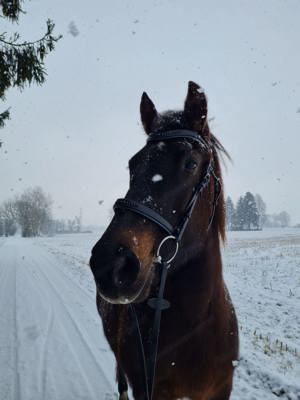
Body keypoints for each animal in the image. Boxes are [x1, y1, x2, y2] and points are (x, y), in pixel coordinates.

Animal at [89, 82, 239, 400]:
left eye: (190, 163)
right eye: (132, 165)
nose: (109, 264)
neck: (196, 323)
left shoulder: (220, 390)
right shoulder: (150, 390)